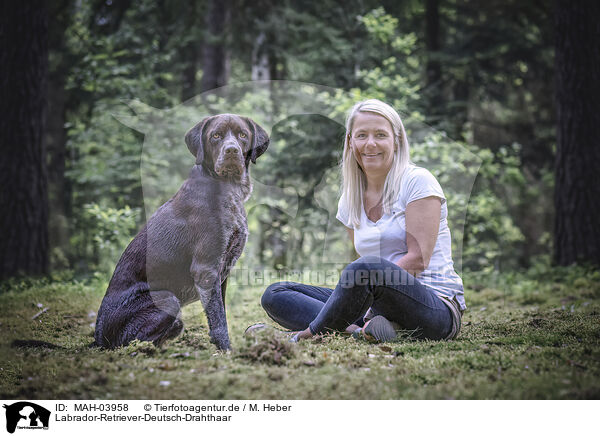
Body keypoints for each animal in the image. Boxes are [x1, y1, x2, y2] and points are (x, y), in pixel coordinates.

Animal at [94, 114, 270, 350]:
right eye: (216, 136)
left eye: (242, 134)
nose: (231, 151)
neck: (227, 189)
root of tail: (97, 338)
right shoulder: (206, 269)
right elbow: (218, 320)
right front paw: (226, 350)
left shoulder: (222, 272)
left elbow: (221, 310)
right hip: (167, 300)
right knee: (131, 341)